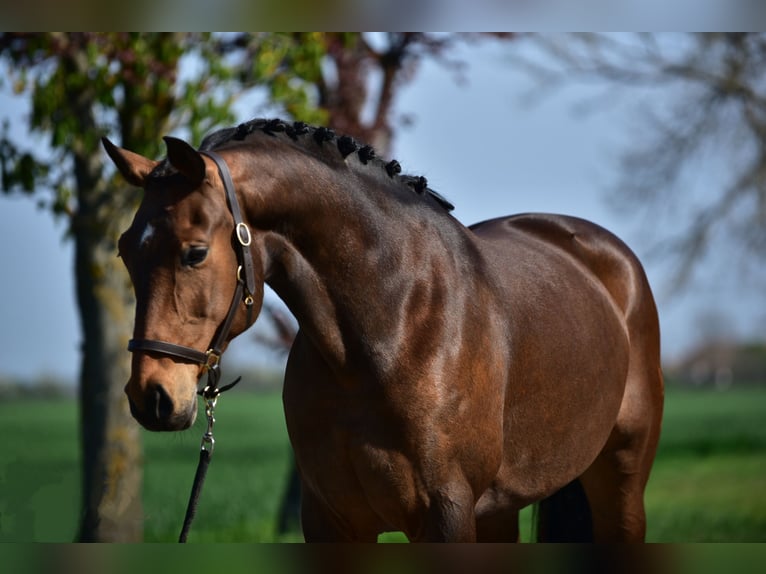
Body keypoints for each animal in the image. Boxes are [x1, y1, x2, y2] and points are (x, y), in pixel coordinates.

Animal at [103, 118, 663, 542]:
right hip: (498, 512)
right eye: (125, 249)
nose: (151, 396)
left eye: (194, 252)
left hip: (620, 482)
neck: (389, 327)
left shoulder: (445, 518)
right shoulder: (332, 522)